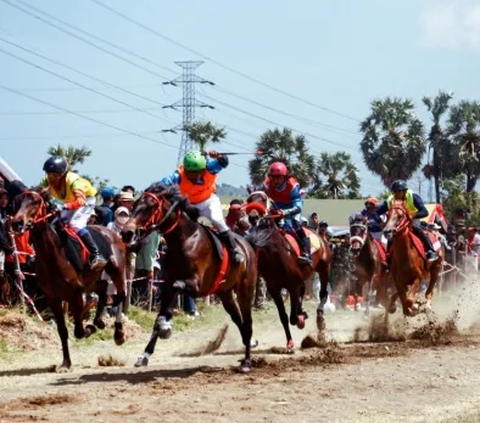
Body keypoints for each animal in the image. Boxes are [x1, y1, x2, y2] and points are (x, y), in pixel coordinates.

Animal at [10, 189, 126, 372]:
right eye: (16, 202)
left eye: (35, 201)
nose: (17, 223)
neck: (54, 255)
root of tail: (111, 231)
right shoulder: (52, 297)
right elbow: (63, 330)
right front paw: (66, 363)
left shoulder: (75, 294)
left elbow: (78, 331)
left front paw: (89, 329)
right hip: (90, 280)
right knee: (102, 288)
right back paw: (99, 321)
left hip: (116, 270)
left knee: (120, 295)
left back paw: (118, 334)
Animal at [121, 184, 258, 372]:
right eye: (134, 205)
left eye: (150, 206)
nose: (126, 233)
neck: (184, 240)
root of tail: (247, 246)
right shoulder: (166, 284)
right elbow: (160, 315)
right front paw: (145, 354)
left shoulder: (197, 285)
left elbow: (177, 288)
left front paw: (166, 327)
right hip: (225, 293)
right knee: (239, 320)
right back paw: (249, 344)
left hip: (245, 289)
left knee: (248, 322)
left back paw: (248, 361)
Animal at [246, 201, 332, 348]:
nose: (253, 217)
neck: (275, 257)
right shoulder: (274, 289)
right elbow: (284, 316)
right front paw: (290, 341)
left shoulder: (292, 285)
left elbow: (293, 318)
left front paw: (301, 318)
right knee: (304, 289)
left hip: (324, 268)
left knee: (323, 294)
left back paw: (320, 319)